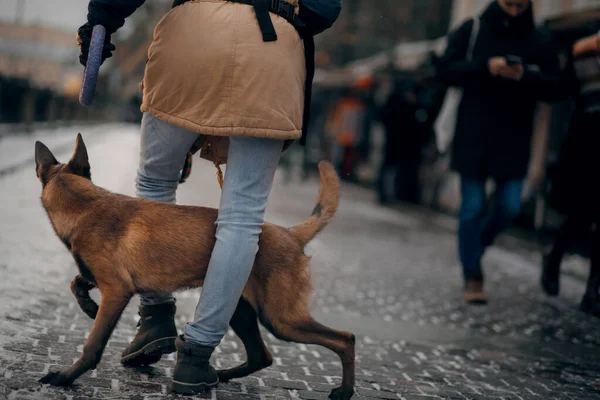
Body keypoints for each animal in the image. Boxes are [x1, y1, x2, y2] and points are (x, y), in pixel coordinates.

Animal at [35, 135, 354, 400]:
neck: (84, 205)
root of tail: (290, 233)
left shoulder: (116, 290)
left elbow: (93, 344)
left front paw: (66, 377)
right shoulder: (109, 280)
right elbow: (78, 280)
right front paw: (88, 304)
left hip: (281, 319)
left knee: (345, 339)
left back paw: (345, 391)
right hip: (240, 310)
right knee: (261, 356)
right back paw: (219, 376)